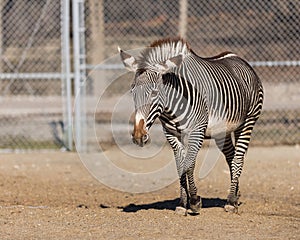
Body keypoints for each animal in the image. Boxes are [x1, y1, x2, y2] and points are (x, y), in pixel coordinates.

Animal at [118, 38, 264, 216]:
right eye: (132, 92)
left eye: (154, 93)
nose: (139, 136)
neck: (171, 107)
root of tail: (237, 57)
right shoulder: (171, 134)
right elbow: (180, 166)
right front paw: (182, 203)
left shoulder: (197, 131)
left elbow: (189, 165)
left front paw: (194, 201)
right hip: (222, 131)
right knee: (231, 157)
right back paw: (235, 196)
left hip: (248, 121)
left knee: (238, 159)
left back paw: (230, 202)